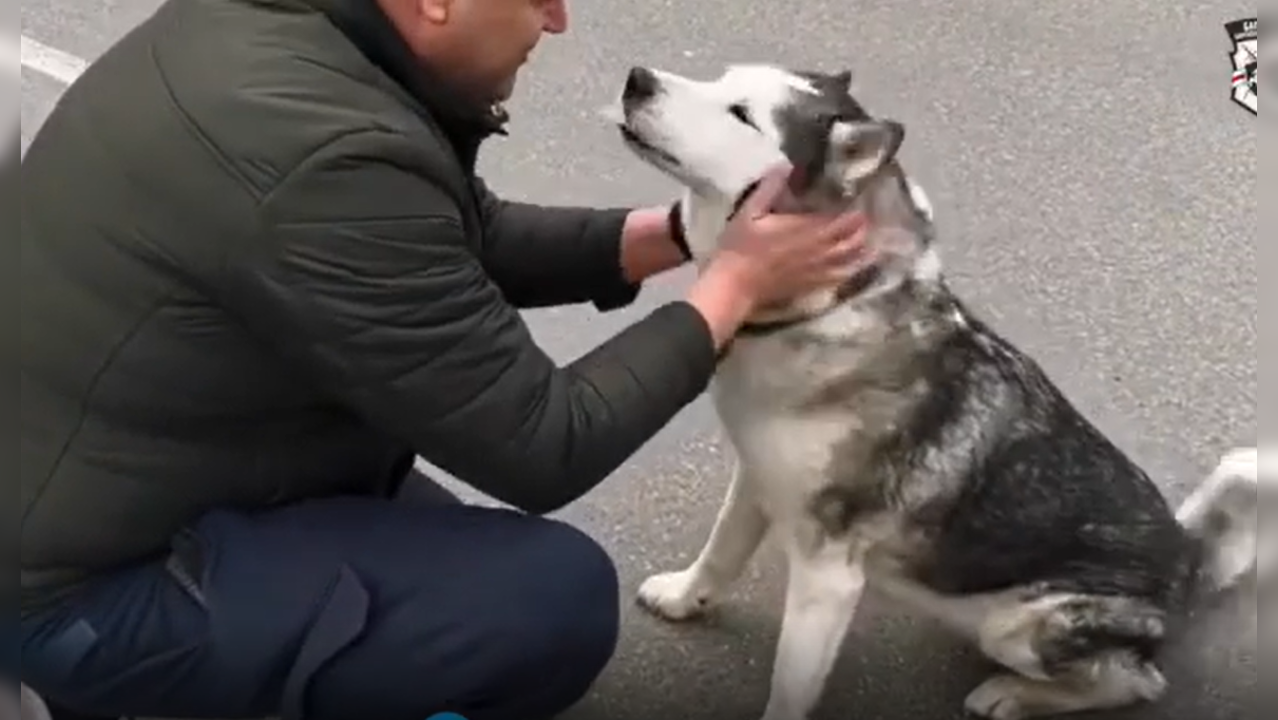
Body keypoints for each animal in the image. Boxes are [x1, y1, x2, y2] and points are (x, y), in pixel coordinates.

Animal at [603, 62, 1262, 720]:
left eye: (742, 113)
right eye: (719, 78)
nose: (637, 78)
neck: (830, 303)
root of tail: (1186, 558)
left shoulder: (828, 574)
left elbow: (789, 689)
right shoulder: (758, 478)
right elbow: (721, 552)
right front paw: (684, 597)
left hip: (1017, 626)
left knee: (1138, 681)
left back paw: (1011, 695)